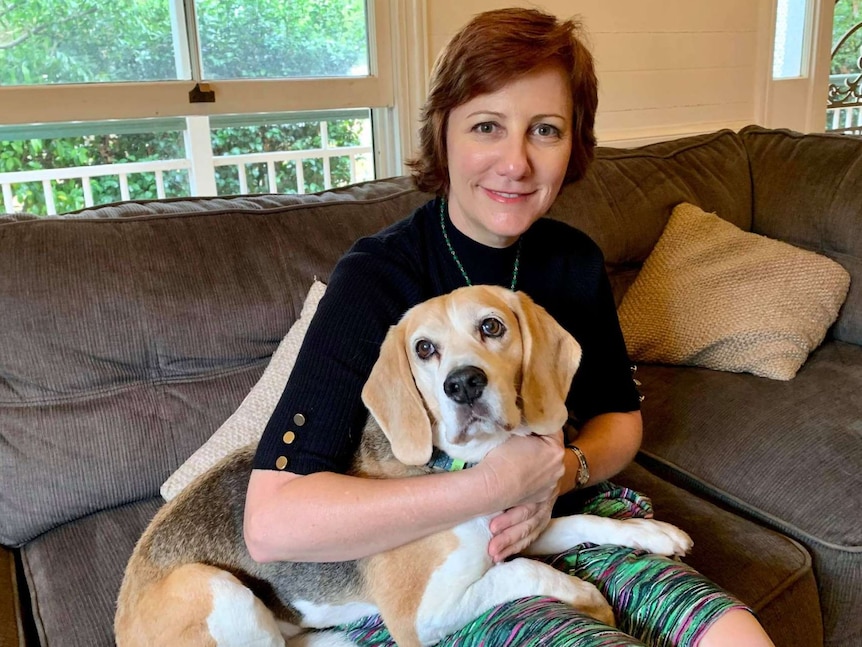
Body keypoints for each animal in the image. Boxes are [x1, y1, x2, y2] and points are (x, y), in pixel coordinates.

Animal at [116, 286, 696, 647]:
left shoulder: (512, 533)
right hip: (214, 587)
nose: (463, 383)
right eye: (424, 349)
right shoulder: (423, 615)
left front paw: (653, 533)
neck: (467, 468)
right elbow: (525, 572)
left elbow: (581, 521)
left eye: (492, 326)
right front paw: (587, 596)